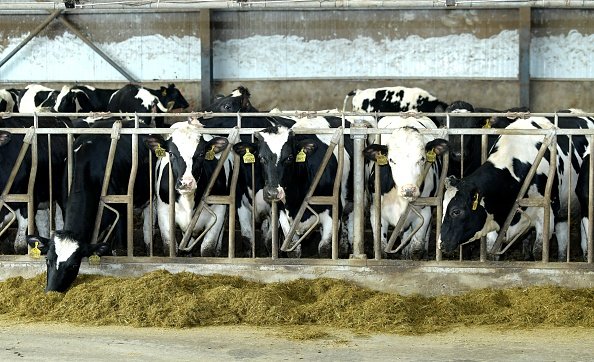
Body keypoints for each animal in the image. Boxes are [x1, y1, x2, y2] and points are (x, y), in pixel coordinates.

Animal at [148, 123, 231, 256]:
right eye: (171, 153)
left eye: (202, 154)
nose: (186, 183)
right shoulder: (164, 212)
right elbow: (169, 247)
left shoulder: (219, 211)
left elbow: (207, 248)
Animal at [360, 114, 448, 258]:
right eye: (391, 160)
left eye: (422, 159)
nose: (408, 190)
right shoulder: (376, 211)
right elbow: (381, 249)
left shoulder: (425, 213)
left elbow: (416, 250)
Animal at [434, 111, 592, 262]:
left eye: (456, 211)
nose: (441, 243)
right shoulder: (494, 215)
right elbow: (492, 253)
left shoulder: (546, 214)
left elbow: (539, 251)